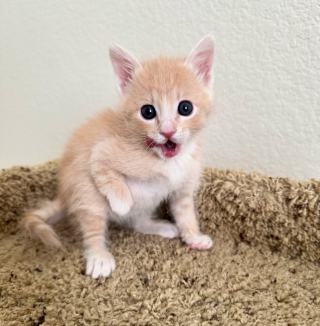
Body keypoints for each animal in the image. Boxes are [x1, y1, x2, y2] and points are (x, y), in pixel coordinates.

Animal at [20, 36, 215, 280]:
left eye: (185, 108)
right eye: (148, 112)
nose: (167, 132)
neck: (167, 160)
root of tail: (64, 195)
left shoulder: (184, 187)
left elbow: (185, 213)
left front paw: (193, 236)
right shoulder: (101, 151)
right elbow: (100, 165)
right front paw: (121, 200)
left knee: (137, 221)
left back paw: (157, 226)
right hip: (84, 189)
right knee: (93, 225)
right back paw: (99, 256)